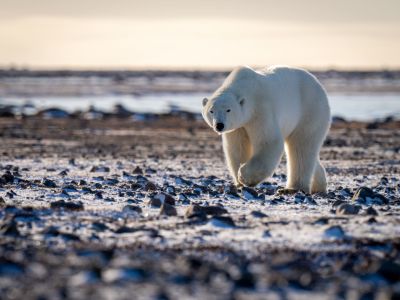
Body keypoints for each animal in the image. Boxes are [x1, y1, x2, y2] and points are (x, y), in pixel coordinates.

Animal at [203, 65, 332, 195]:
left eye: (228, 110)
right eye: (211, 111)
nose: (219, 125)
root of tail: (318, 84)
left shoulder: (261, 110)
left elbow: (269, 141)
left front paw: (243, 176)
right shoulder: (238, 127)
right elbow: (237, 147)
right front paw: (239, 182)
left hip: (310, 110)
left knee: (301, 146)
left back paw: (292, 188)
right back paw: (319, 186)